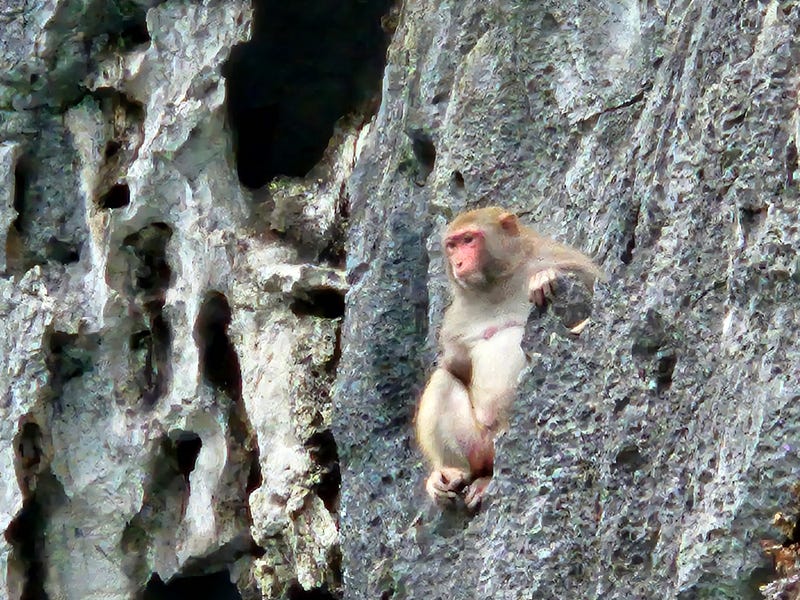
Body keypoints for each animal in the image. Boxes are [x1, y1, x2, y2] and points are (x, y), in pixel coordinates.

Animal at [418, 206, 600, 510]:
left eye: (469, 239)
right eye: (452, 245)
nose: (458, 262)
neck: (496, 283)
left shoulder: (560, 257)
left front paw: (544, 278)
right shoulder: (454, 320)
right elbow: (456, 368)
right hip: (477, 441)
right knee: (443, 380)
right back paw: (459, 473)